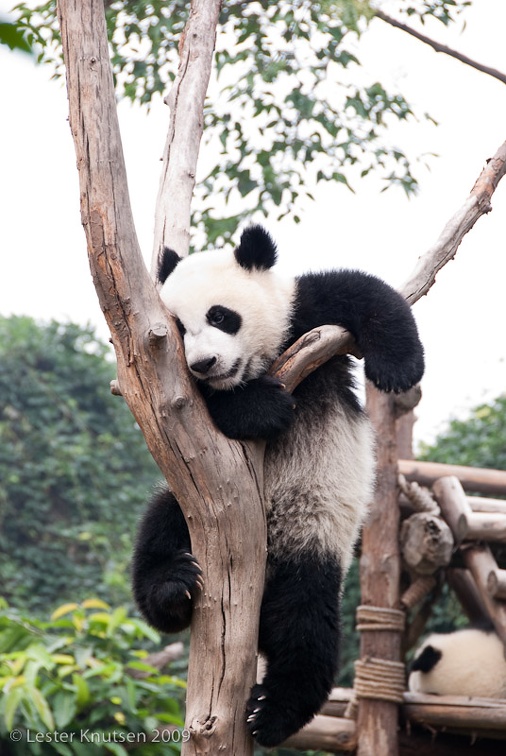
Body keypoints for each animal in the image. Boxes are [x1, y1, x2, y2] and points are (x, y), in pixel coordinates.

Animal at [132, 223, 424, 744]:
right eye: (180, 329)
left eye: (220, 316)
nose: (204, 363)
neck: (255, 365)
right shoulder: (173, 383)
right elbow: (198, 405)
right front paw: (261, 407)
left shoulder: (306, 318)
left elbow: (365, 293)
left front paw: (398, 369)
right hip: (190, 507)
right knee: (160, 528)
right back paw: (172, 588)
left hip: (311, 547)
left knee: (303, 627)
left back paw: (272, 712)